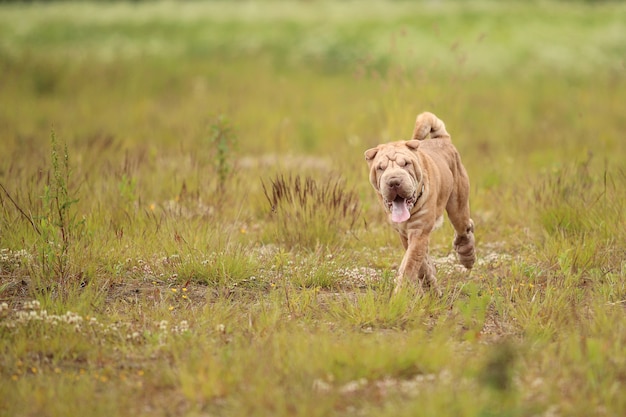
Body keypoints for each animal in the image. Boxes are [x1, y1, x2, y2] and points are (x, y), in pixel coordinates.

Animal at [360, 112, 472, 294]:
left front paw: (399, 294)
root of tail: (442, 139)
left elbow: (410, 264)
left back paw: (467, 256)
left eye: (406, 164)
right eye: (381, 168)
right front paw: (431, 286)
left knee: (465, 229)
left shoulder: (419, 230)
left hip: (457, 207)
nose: (394, 181)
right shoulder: (405, 234)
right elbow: (420, 264)